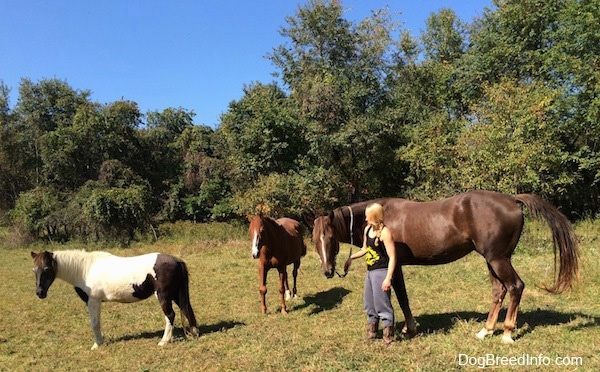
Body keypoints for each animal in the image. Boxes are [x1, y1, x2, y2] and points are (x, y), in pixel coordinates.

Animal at [31, 250, 199, 348]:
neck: (85, 269)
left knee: (170, 315)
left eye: (46, 268)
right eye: (34, 270)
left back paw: (164, 341)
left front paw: (97, 344)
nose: (39, 293)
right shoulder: (96, 302)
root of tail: (176, 260)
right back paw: (195, 332)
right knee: (187, 309)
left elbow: (94, 323)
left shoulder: (93, 301)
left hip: (164, 295)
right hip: (175, 294)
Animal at [310, 190, 576, 344]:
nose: (327, 271)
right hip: (493, 260)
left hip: (499, 259)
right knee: (499, 291)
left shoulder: (395, 266)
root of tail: (511, 200)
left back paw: (507, 334)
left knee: (515, 287)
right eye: (314, 240)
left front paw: (409, 329)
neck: (384, 218)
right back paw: (486, 330)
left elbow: (402, 298)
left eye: (330, 238)